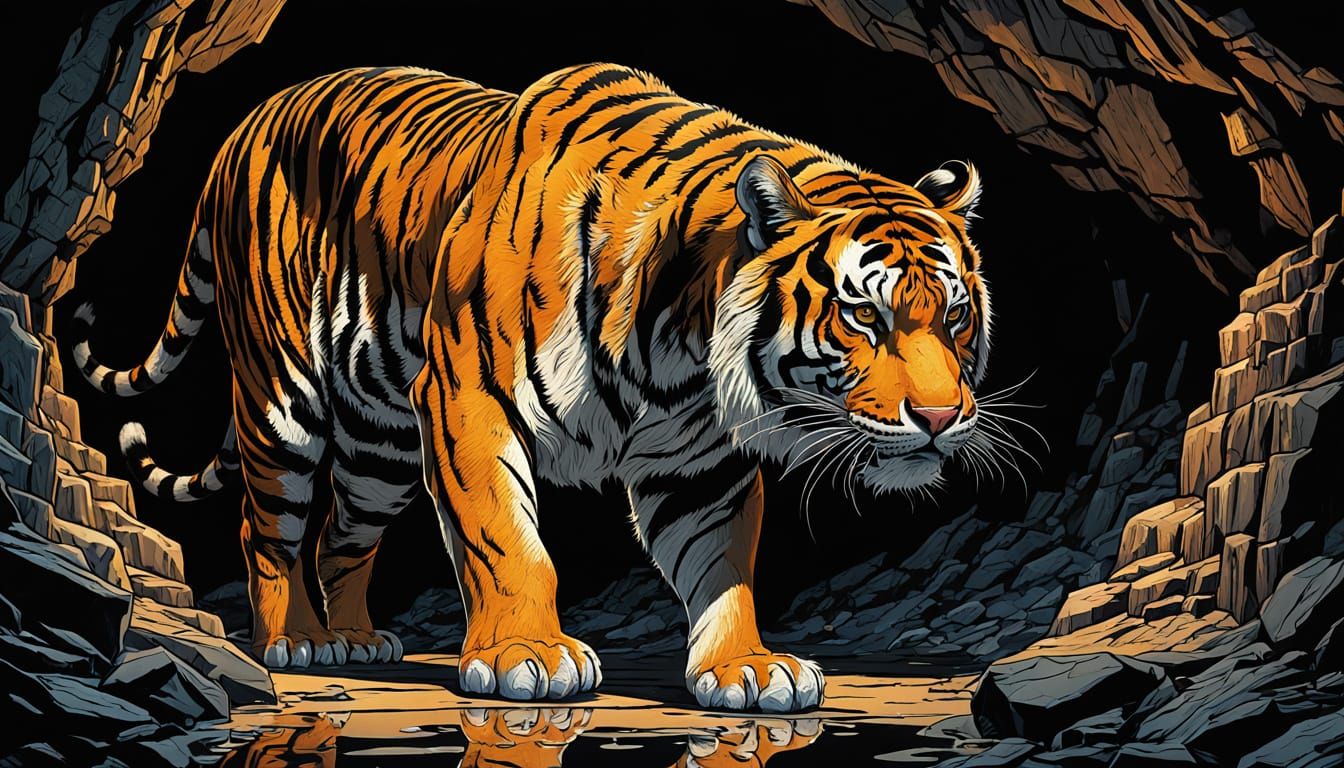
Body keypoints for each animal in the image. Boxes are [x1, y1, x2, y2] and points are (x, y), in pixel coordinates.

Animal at [70, 63, 991, 712]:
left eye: (954, 317)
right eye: (864, 315)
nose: (941, 416)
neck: (683, 349)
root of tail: (246, 125)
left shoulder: (698, 462)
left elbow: (723, 563)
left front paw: (746, 669)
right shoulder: (468, 402)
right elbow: (508, 543)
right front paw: (529, 657)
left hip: (379, 451)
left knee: (340, 535)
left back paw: (356, 638)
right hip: (283, 401)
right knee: (267, 528)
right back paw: (294, 642)